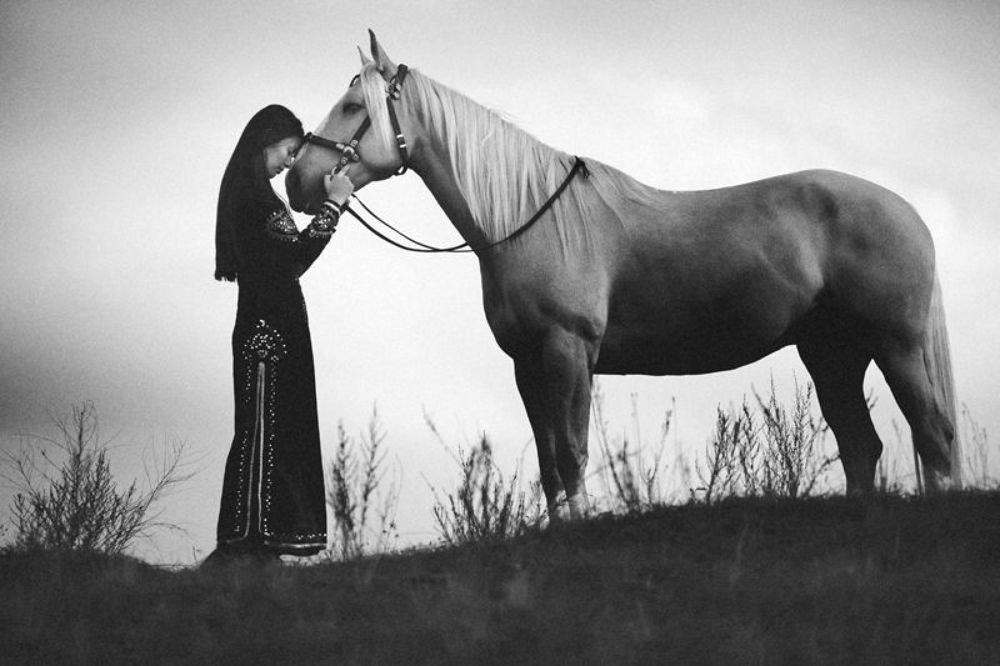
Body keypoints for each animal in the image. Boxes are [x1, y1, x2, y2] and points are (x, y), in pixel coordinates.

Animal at [286, 32, 961, 518]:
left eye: (354, 106)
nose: (298, 179)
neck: (528, 217)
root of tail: (908, 212)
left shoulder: (568, 352)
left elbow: (572, 451)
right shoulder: (528, 363)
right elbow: (549, 460)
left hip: (895, 345)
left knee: (932, 433)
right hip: (832, 352)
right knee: (862, 444)